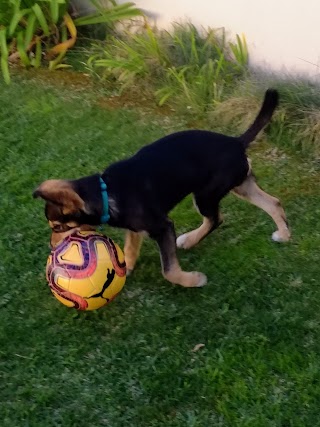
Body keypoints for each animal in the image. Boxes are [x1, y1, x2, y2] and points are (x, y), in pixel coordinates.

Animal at [33, 90, 292, 290]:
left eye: (58, 227)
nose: (52, 247)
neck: (106, 193)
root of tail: (237, 141)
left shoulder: (163, 226)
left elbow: (168, 270)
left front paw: (193, 280)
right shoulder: (135, 228)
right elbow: (130, 249)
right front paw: (124, 268)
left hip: (206, 194)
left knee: (216, 218)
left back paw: (189, 240)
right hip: (241, 184)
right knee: (273, 202)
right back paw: (284, 234)